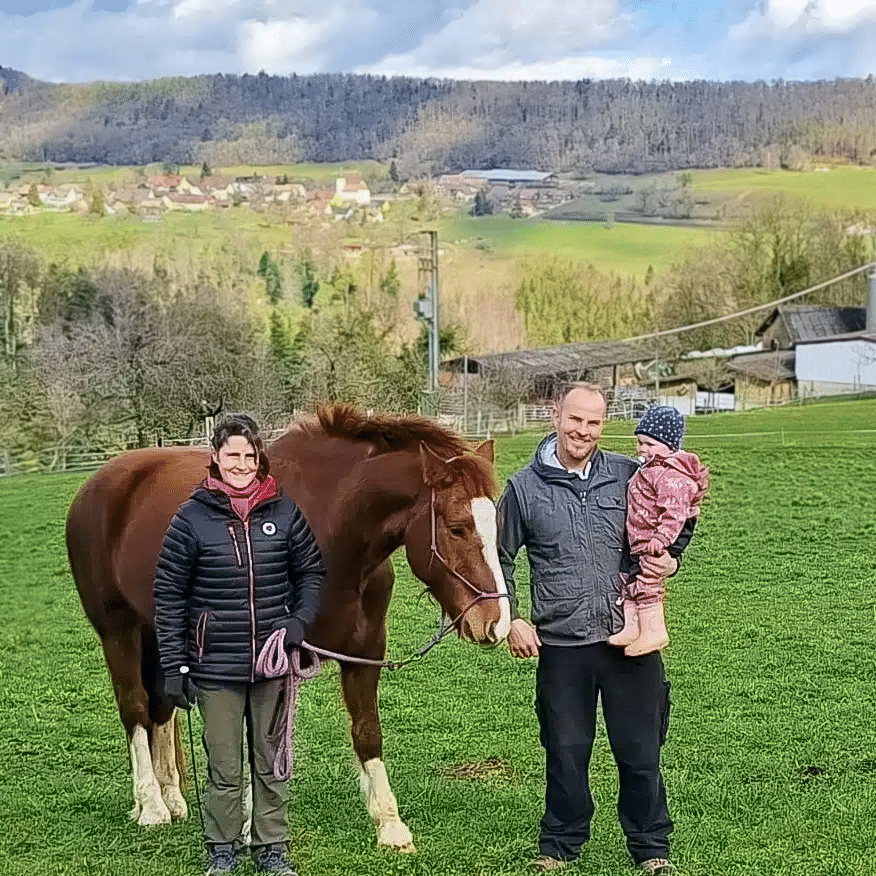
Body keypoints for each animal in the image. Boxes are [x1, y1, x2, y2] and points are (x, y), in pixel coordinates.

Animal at [66, 404, 512, 851]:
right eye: (456, 527)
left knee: (162, 706)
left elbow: (367, 731)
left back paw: (172, 799)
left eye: (495, 523)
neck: (332, 532)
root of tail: (99, 484)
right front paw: (251, 828)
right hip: (118, 630)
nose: (496, 622)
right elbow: (257, 741)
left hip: (160, 633)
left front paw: (390, 825)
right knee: (135, 708)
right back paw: (151, 807)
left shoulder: (365, 653)